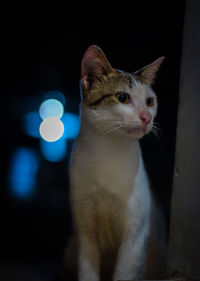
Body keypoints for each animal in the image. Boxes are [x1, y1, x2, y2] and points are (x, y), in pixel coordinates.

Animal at [63, 44, 166, 278]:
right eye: (122, 97)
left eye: (150, 101)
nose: (147, 117)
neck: (108, 152)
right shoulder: (85, 231)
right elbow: (87, 273)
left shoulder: (134, 236)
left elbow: (124, 273)